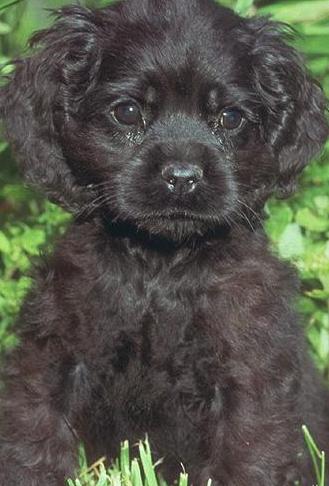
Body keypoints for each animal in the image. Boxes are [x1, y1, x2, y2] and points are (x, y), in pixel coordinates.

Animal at [0, 0, 328, 484]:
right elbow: (32, 439)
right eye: (127, 112)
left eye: (230, 118)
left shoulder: (248, 372)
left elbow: (249, 453)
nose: (183, 177)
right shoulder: (54, 354)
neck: (160, 267)